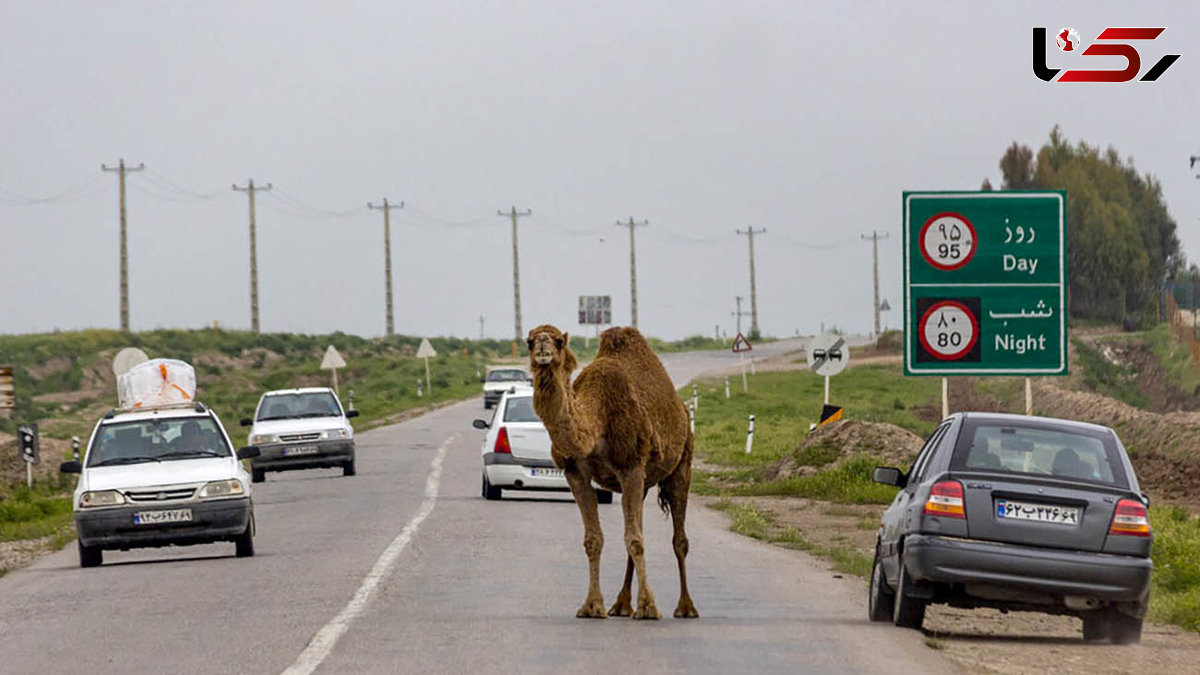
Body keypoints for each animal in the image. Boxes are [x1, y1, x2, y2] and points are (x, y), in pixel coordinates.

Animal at [528, 324, 700, 619]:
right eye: (529, 340)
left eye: (559, 340)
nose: (542, 344)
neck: (595, 425)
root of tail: (681, 407)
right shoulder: (576, 473)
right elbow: (594, 539)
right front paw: (592, 606)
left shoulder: (630, 466)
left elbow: (635, 540)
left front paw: (648, 608)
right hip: (644, 483)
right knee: (636, 530)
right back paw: (621, 604)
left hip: (682, 462)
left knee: (679, 539)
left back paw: (685, 607)